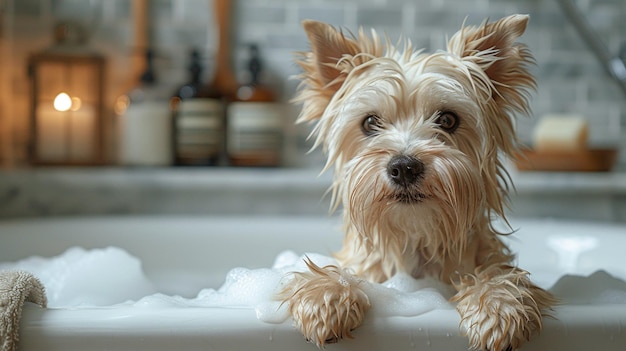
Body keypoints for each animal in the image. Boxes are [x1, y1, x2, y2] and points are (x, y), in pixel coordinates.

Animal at [278, 14, 556, 351]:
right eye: (370, 122)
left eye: (447, 120)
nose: (404, 167)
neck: (415, 240)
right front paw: (326, 294)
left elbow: (498, 275)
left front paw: (497, 303)